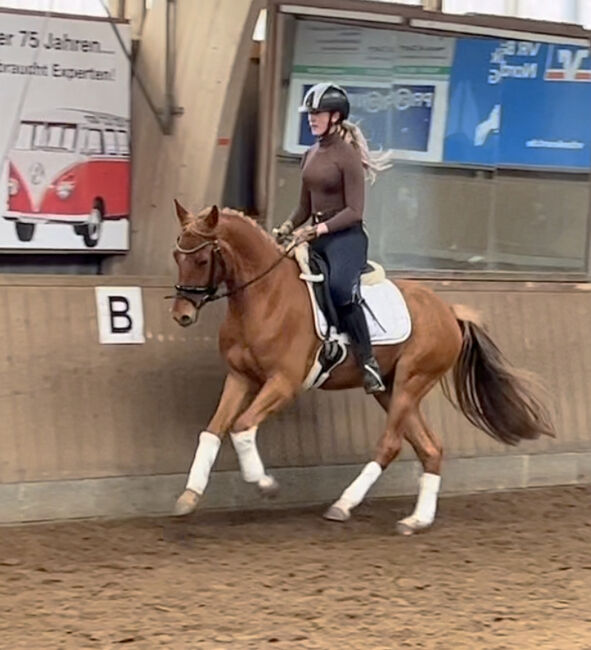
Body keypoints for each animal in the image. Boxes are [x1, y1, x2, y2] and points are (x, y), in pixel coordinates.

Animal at [170, 202, 556, 532]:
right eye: (176, 255)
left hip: (412, 381)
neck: (265, 295)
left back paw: (344, 505)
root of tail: (449, 312)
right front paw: (189, 496)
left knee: (391, 444)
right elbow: (213, 430)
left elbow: (241, 426)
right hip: (390, 389)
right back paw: (417, 521)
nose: (182, 315)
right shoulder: (240, 378)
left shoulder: (284, 382)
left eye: (202, 258)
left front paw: (264, 483)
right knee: (430, 447)